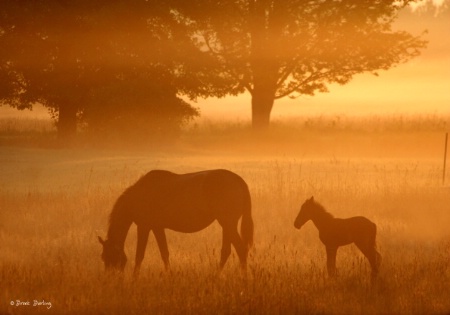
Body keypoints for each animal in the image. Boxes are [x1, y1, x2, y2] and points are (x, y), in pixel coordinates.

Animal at [99, 169, 253, 278]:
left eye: (109, 257)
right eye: (103, 258)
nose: (110, 278)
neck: (139, 196)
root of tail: (239, 180)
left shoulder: (144, 227)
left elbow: (139, 255)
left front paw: (134, 279)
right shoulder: (157, 227)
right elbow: (164, 253)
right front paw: (170, 275)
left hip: (228, 223)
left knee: (240, 249)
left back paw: (243, 278)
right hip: (227, 224)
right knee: (226, 251)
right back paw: (216, 276)